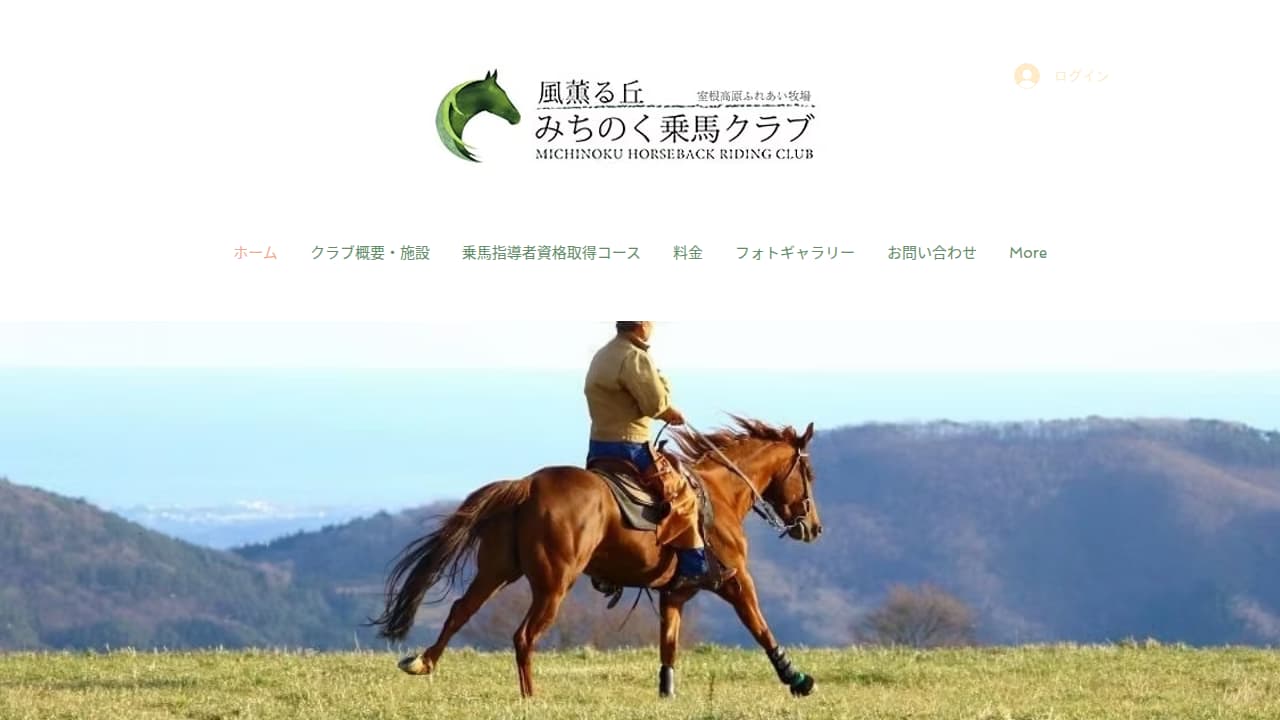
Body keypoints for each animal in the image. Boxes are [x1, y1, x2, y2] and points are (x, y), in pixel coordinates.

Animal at [369, 416, 824, 698]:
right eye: (809, 474)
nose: (814, 528)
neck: (721, 493)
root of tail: (527, 485)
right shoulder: (734, 579)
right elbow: (760, 627)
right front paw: (797, 679)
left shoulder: (674, 593)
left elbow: (669, 644)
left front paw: (666, 692)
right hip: (554, 584)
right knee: (523, 636)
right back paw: (530, 697)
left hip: (496, 571)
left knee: (461, 611)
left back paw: (423, 663)